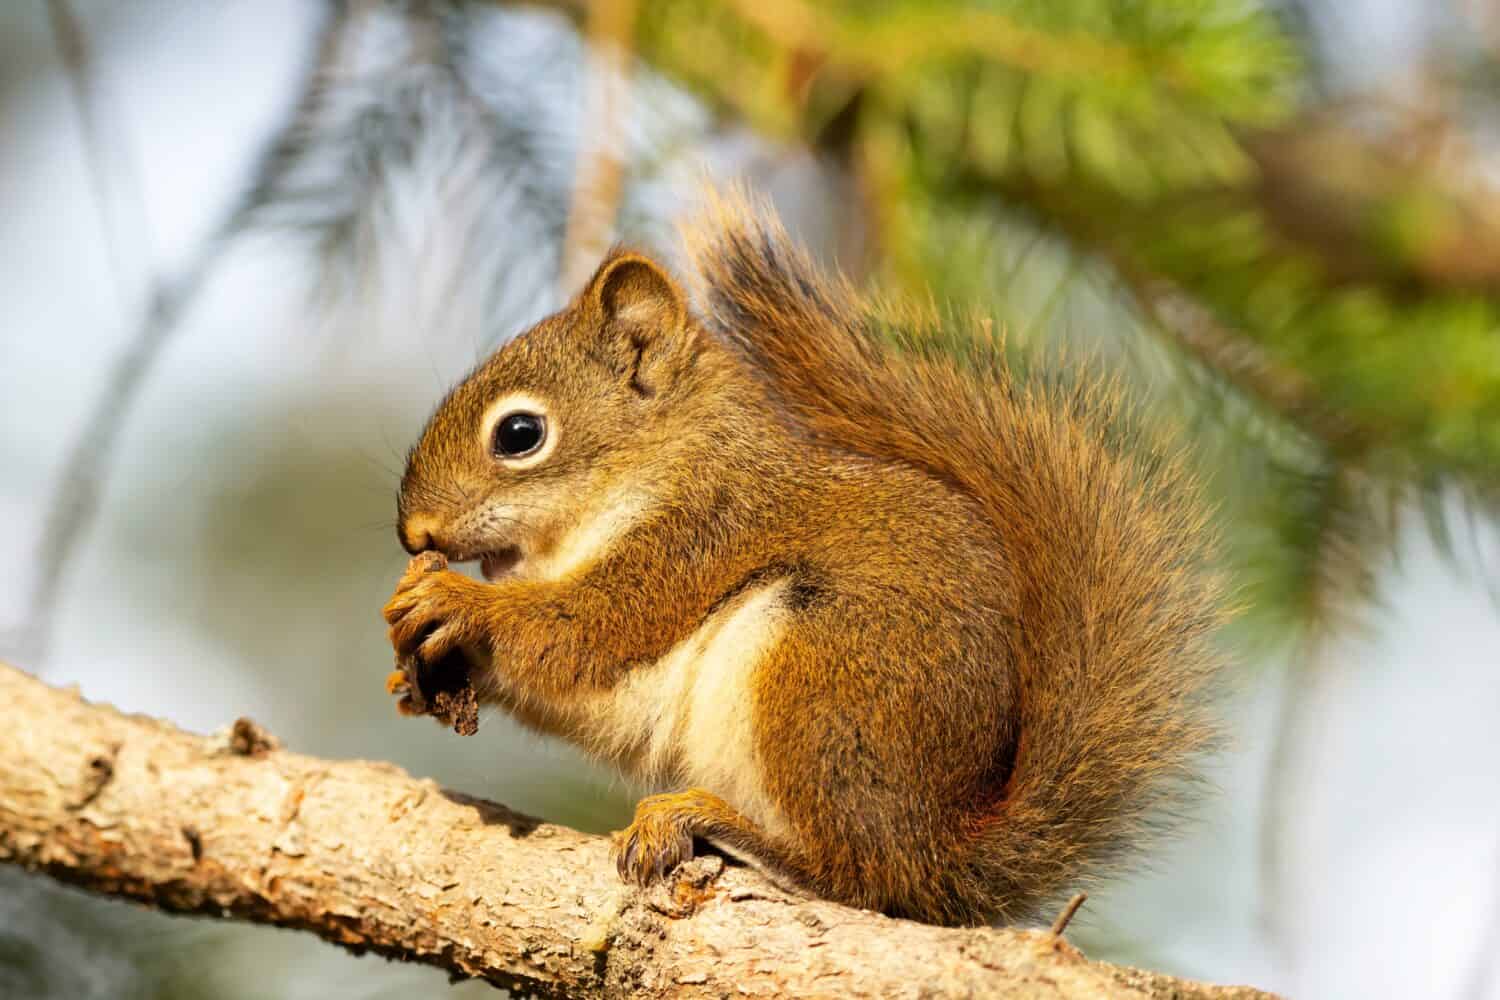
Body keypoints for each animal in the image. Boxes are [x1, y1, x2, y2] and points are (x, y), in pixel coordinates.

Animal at [381, 189, 1224, 926]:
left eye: (519, 434)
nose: (415, 534)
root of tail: (944, 853)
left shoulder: (701, 537)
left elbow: (584, 630)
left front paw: (459, 604)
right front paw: (418, 672)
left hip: (818, 679)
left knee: (859, 874)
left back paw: (711, 822)